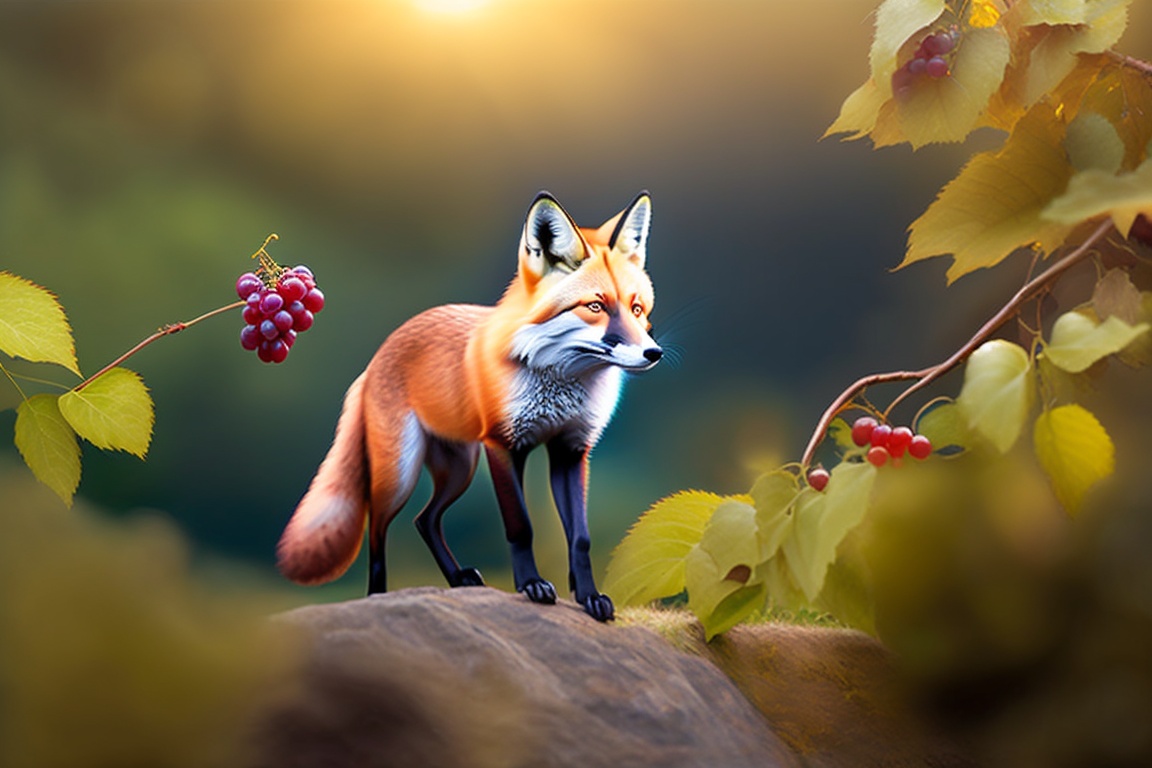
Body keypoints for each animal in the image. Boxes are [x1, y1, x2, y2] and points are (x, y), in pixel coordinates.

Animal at [276, 191, 662, 621]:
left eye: (637, 308)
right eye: (596, 307)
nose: (654, 353)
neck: (561, 380)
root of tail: (378, 355)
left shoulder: (571, 449)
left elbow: (580, 537)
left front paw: (588, 596)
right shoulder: (504, 444)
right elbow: (520, 526)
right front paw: (531, 585)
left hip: (459, 467)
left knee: (425, 520)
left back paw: (458, 578)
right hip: (401, 472)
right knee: (376, 527)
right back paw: (377, 596)